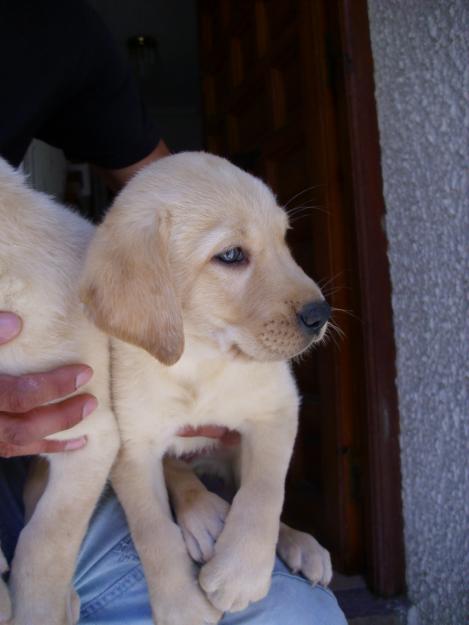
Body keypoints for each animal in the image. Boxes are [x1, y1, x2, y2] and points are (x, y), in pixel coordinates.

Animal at [79, 152, 330, 624]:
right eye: (231, 255)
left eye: (284, 239)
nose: (321, 314)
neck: (199, 355)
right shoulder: (132, 446)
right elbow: (153, 531)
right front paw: (181, 604)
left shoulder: (278, 409)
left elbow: (264, 492)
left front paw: (240, 574)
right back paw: (205, 516)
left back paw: (299, 544)